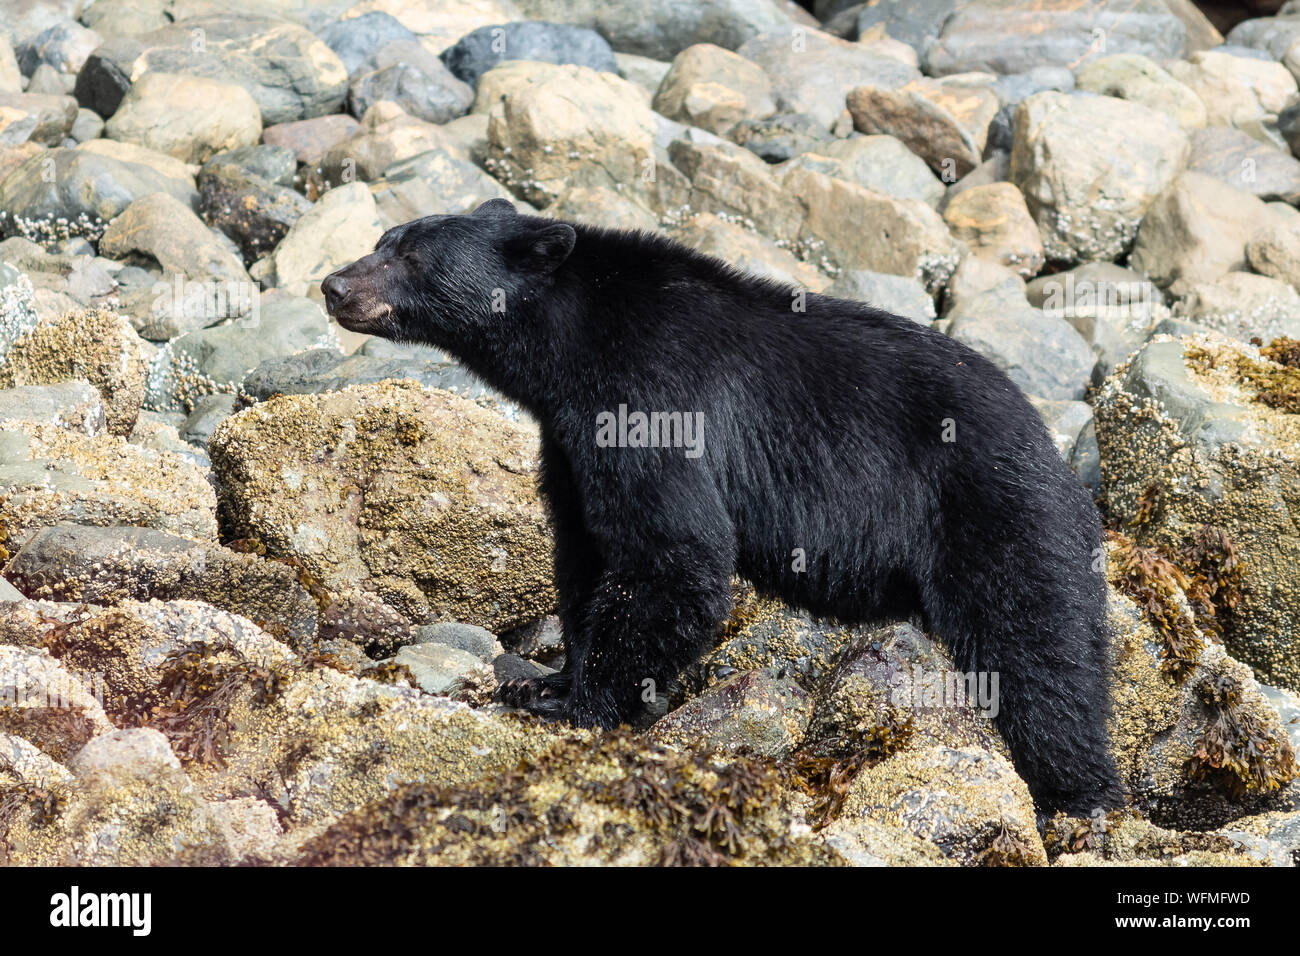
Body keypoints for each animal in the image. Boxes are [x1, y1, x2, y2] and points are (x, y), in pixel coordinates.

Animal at [319, 197, 1123, 811]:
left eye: (410, 254)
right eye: (382, 239)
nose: (332, 285)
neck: (572, 349)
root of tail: (1061, 456)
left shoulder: (649, 400)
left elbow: (673, 551)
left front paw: (574, 704)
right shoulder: (570, 438)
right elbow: (586, 547)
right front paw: (552, 678)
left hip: (997, 515)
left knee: (1041, 653)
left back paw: (1080, 795)